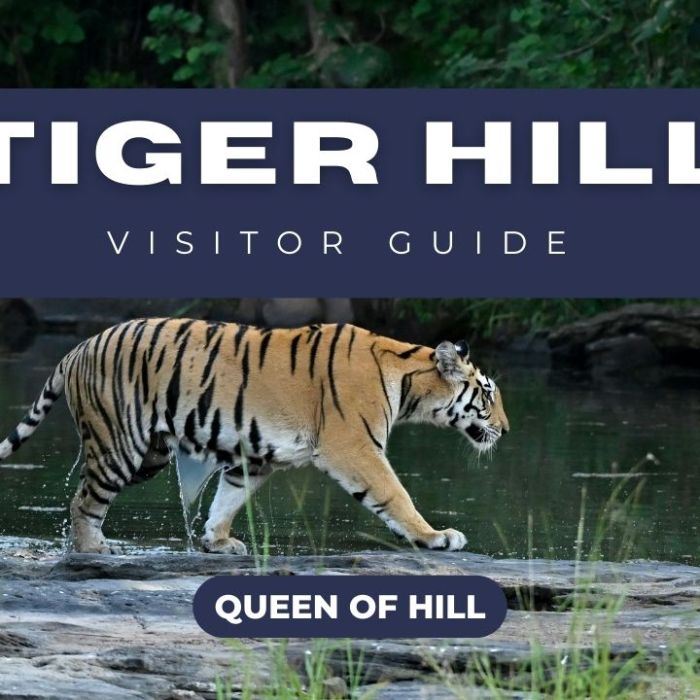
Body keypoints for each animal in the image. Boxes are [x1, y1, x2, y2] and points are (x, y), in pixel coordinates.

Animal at [0, 319, 509, 554]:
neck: (408, 382)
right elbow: (396, 495)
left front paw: (217, 541)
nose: (505, 429)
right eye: (487, 393)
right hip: (119, 444)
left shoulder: (259, 455)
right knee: (83, 501)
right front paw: (436, 537)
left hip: (150, 453)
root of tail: (78, 348)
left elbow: (227, 498)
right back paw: (93, 550)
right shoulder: (355, 447)